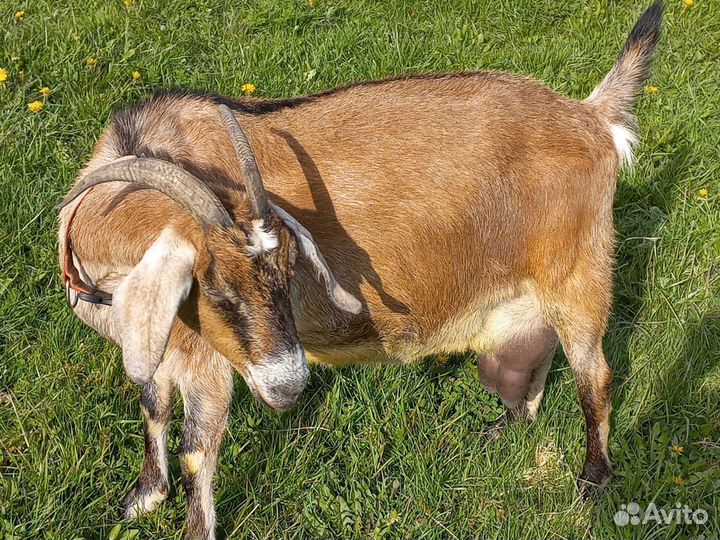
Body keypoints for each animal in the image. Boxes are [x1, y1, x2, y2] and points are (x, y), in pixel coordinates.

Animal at [58, 3, 663, 538]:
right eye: (216, 290)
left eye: (288, 274)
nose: (289, 385)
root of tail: (589, 116)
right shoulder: (160, 343)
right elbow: (152, 406)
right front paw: (143, 495)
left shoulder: (205, 360)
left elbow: (196, 450)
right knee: (538, 361)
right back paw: (506, 427)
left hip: (580, 274)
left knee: (596, 377)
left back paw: (591, 483)